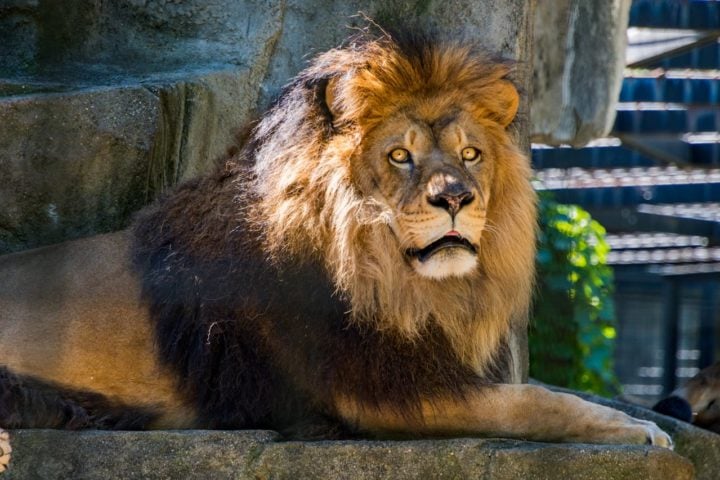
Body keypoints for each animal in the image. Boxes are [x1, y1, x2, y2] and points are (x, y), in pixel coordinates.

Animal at [0, 33, 670, 469]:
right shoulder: (373, 393)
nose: (456, 197)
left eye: (471, 154)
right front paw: (640, 430)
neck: (398, 283)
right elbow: (532, 401)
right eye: (399, 155)